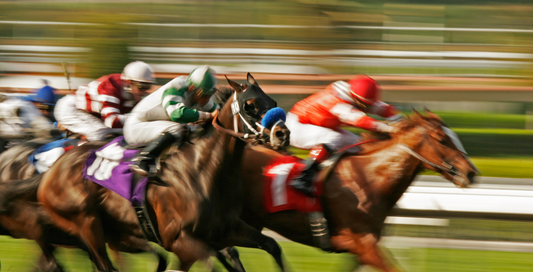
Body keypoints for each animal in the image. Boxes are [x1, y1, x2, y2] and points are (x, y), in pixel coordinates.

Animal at [36, 73, 290, 270]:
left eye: (272, 100)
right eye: (250, 105)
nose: (282, 134)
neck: (204, 171)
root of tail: (54, 168)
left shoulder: (226, 230)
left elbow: (272, 246)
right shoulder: (180, 239)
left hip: (119, 233)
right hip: (87, 225)